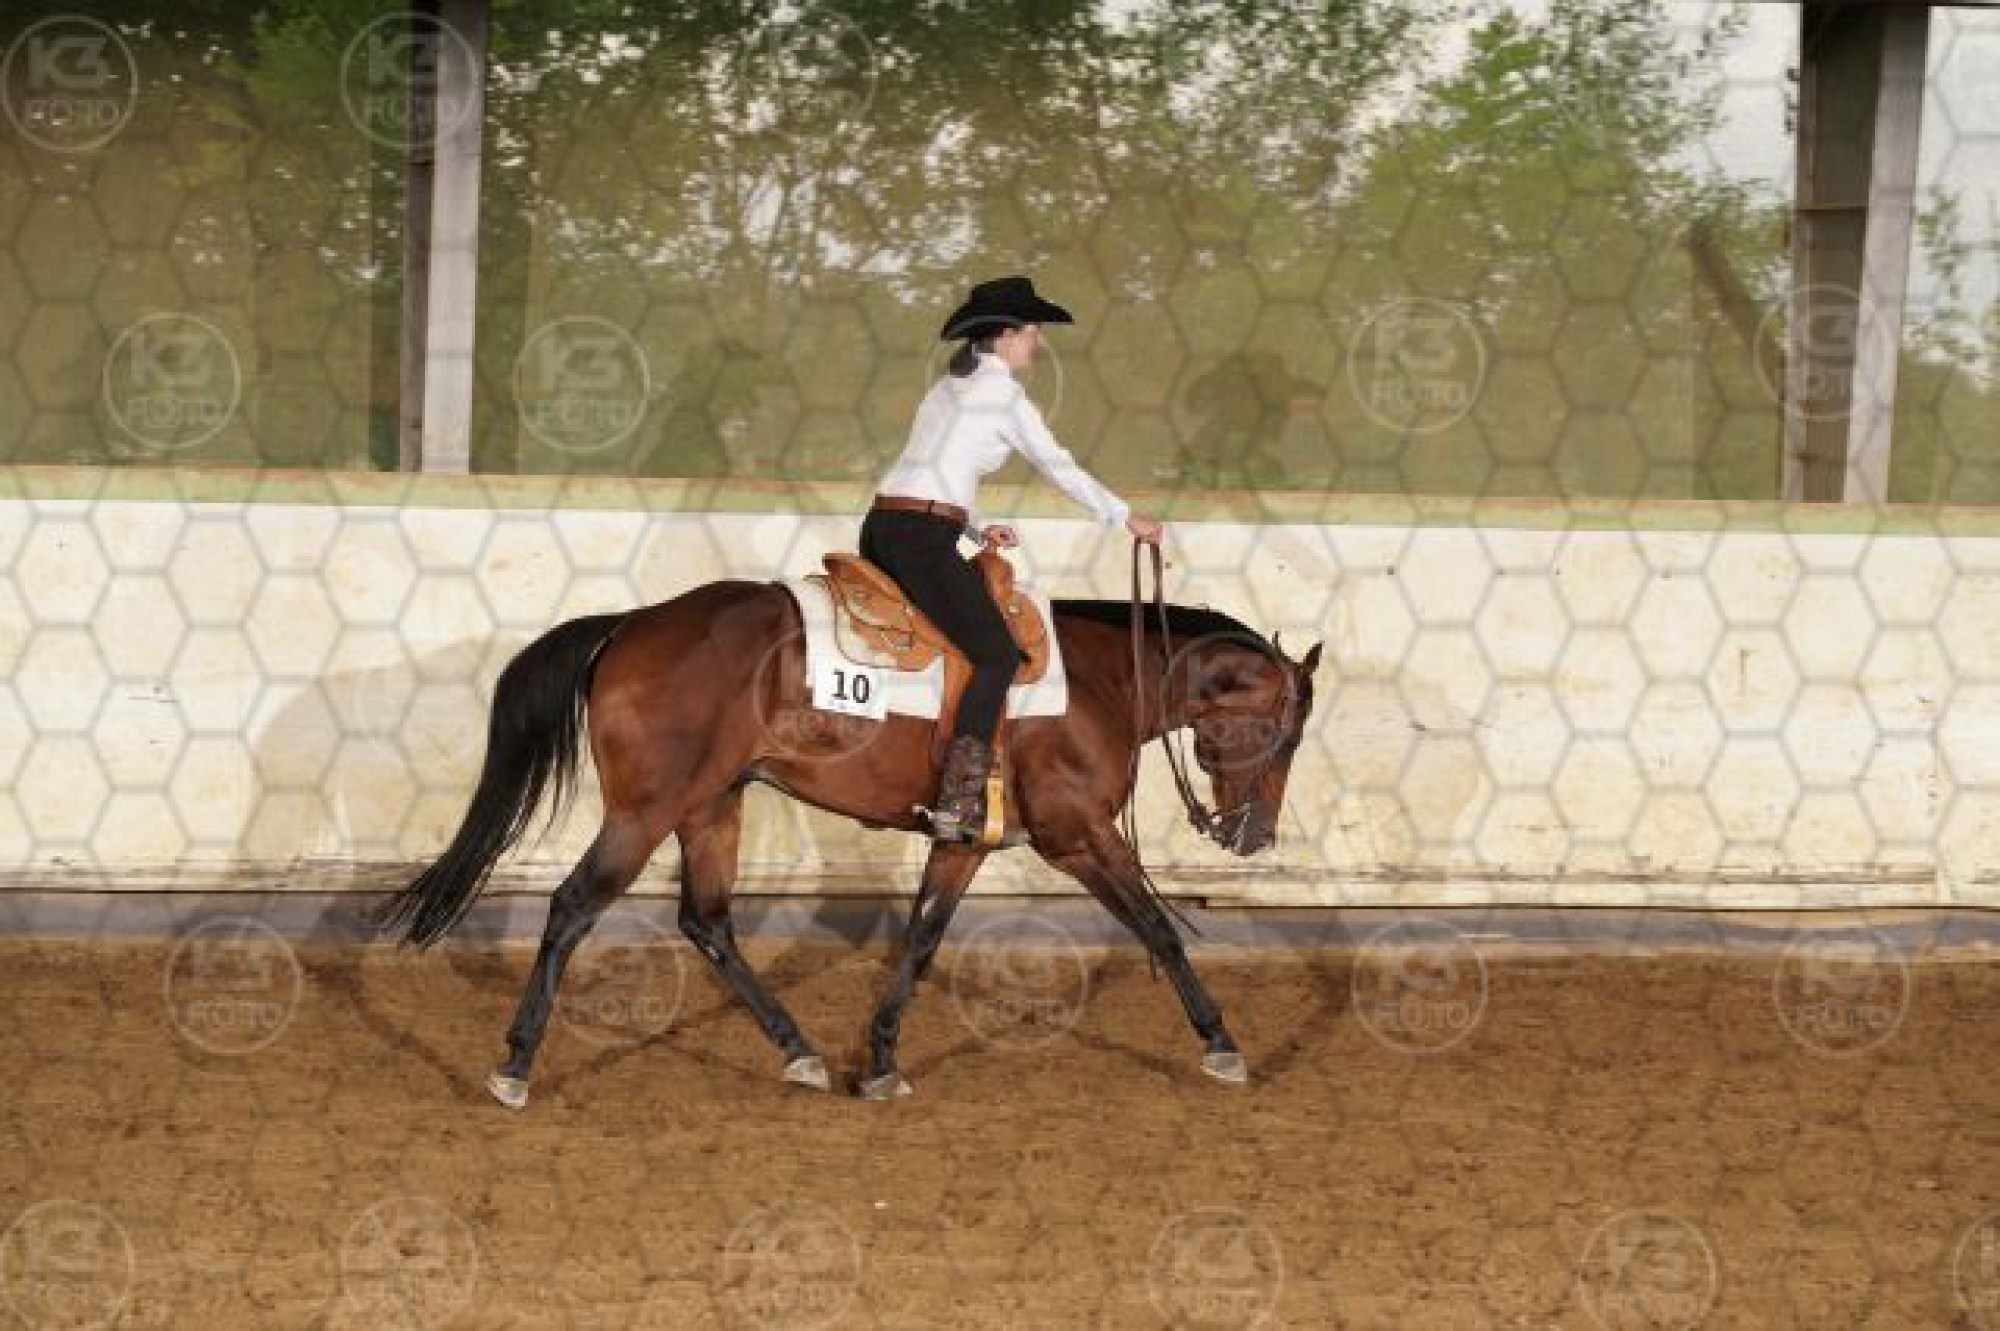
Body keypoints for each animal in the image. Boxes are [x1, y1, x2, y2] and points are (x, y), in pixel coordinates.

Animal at [379, 545, 1322, 1105]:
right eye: (1286, 733)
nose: (1255, 837)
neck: (1101, 679)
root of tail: (631, 626)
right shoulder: (1080, 834)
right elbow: (1159, 929)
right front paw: (1222, 1042)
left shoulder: (963, 841)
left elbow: (922, 939)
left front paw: (880, 1059)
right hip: (646, 811)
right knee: (574, 905)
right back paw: (515, 1063)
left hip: (713, 803)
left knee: (706, 920)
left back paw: (798, 1049)